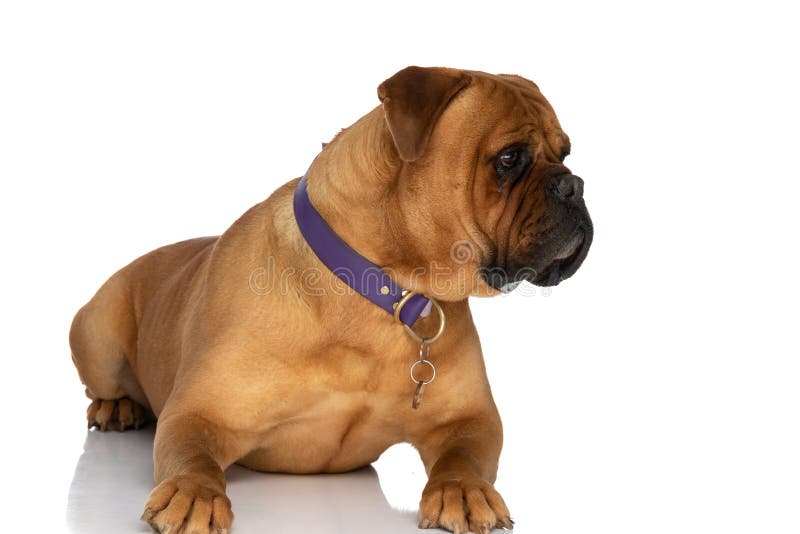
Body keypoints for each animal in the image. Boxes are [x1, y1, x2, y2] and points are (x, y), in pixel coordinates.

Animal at [69, 67, 592, 534]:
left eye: (566, 152)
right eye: (509, 158)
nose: (574, 184)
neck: (385, 293)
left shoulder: (471, 417)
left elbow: (462, 457)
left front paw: (463, 490)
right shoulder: (200, 412)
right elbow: (193, 456)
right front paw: (193, 493)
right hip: (95, 329)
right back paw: (117, 408)